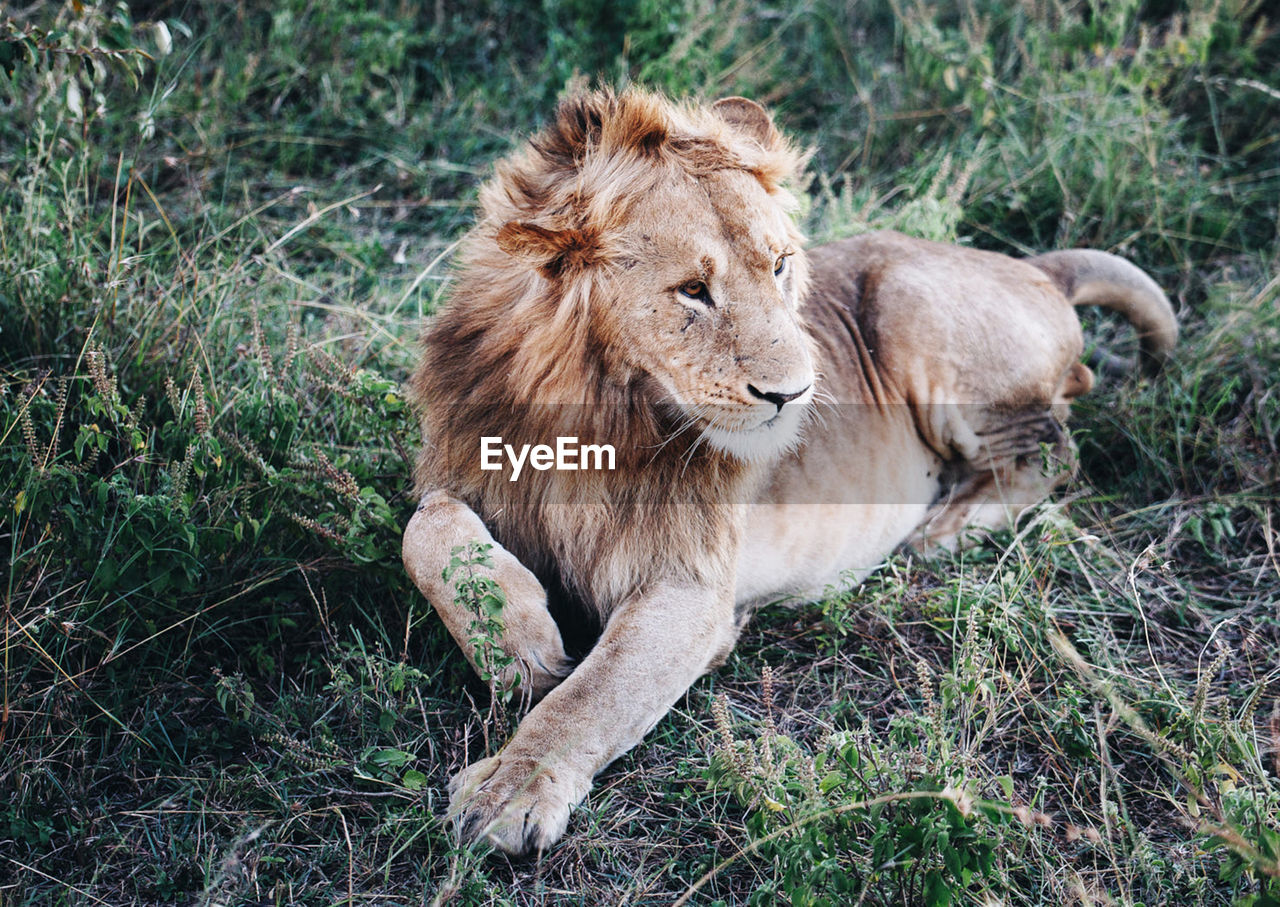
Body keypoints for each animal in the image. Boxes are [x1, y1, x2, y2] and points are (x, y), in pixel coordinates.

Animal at [401, 88, 1177, 854]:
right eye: (692, 289)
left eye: (779, 267)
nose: (795, 394)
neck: (594, 418)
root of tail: (1036, 265)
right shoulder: (468, 471)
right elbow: (424, 530)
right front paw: (519, 647)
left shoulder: (691, 590)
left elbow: (590, 698)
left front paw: (508, 793)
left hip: (912, 305)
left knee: (1052, 447)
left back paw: (942, 529)